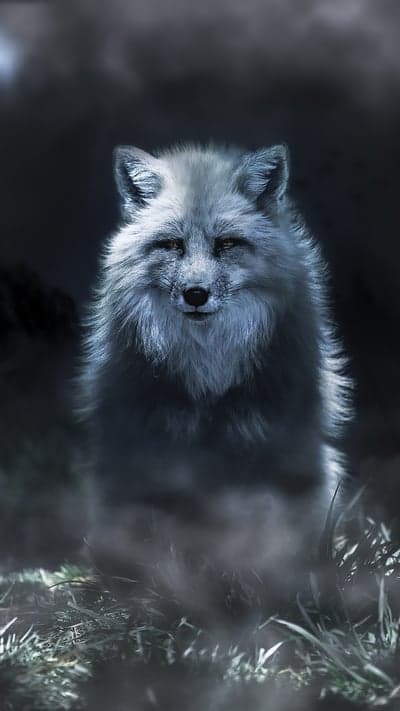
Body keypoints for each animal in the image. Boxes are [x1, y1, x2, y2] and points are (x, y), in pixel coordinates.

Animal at [78, 142, 351, 535]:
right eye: (172, 245)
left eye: (227, 244)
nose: (195, 294)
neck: (208, 367)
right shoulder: (152, 435)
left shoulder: (271, 436)